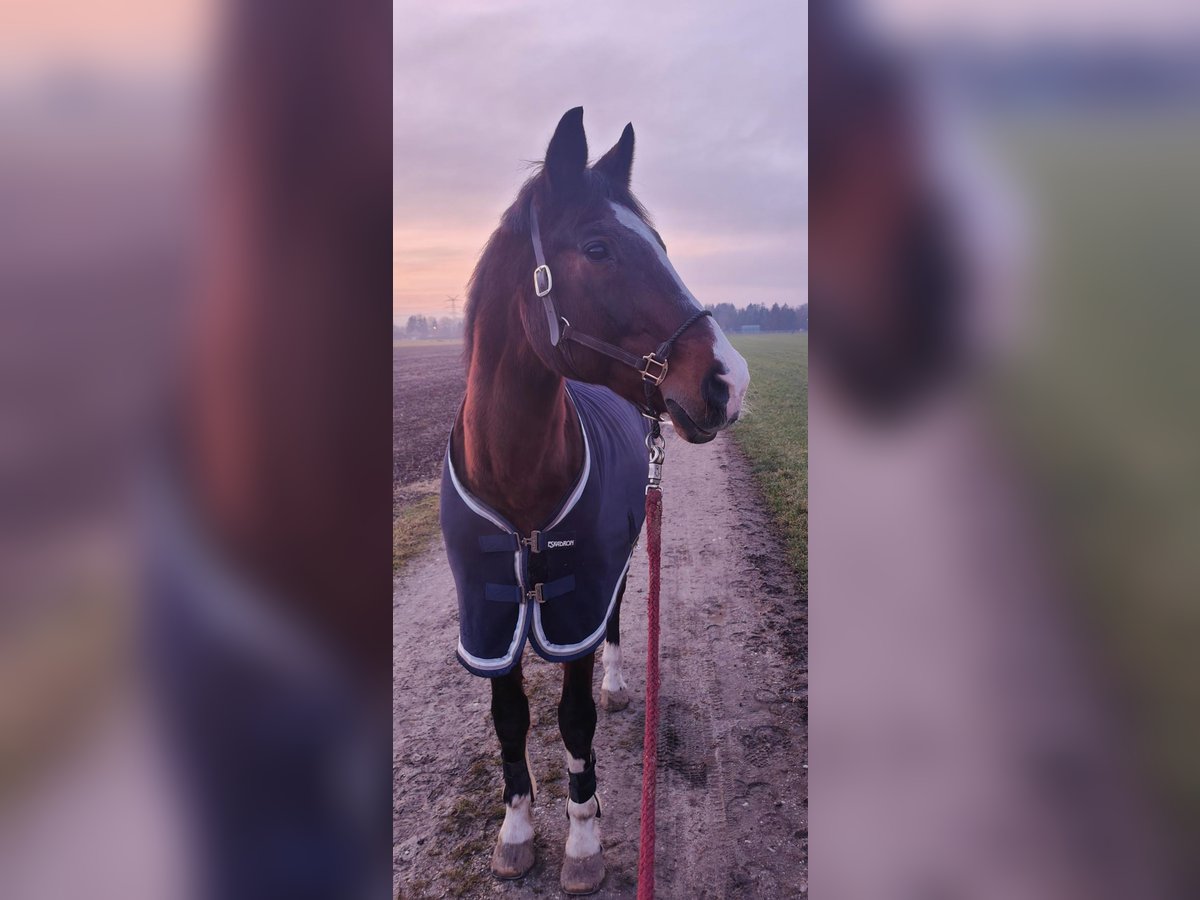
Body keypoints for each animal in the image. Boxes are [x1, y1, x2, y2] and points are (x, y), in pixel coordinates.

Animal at [441, 107, 749, 894]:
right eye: (598, 247)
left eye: (661, 245)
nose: (730, 381)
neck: (515, 476)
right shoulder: (489, 614)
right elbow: (511, 717)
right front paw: (517, 829)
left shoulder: (575, 602)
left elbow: (574, 718)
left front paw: (582, 838)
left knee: (615, 618)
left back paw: (616, 682)